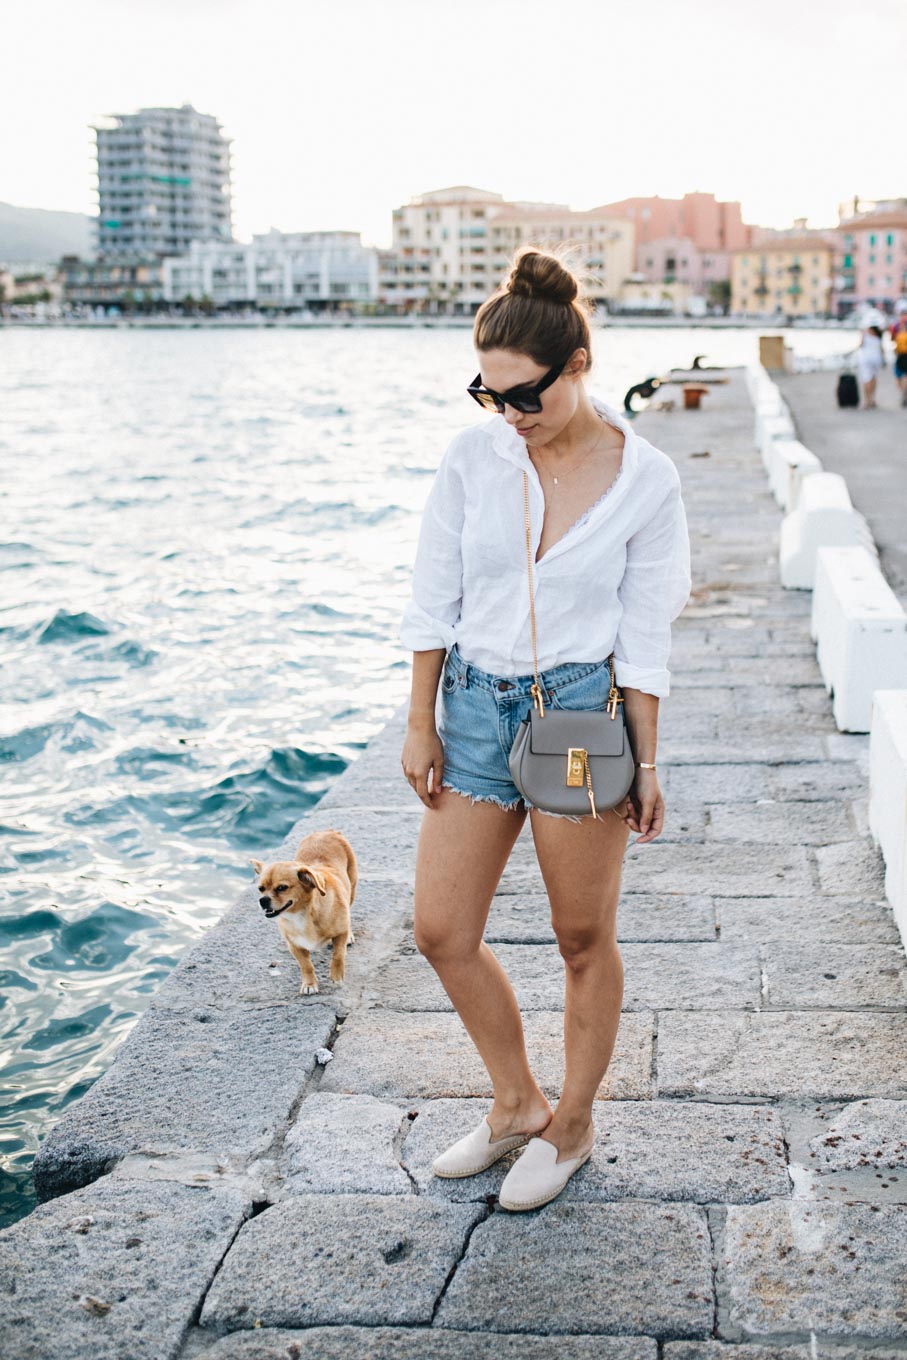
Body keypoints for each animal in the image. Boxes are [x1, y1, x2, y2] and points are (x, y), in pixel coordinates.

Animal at [254, 821, 358, 995]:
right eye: (261, 889)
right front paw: (309, 984)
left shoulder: (340, 934)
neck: (301, 916)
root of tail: (326, 831)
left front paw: (336, 977)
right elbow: (306, 965)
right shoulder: (295, 946)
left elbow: (338, 955)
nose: (263, 900)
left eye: (282, 888)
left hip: (351, 888)